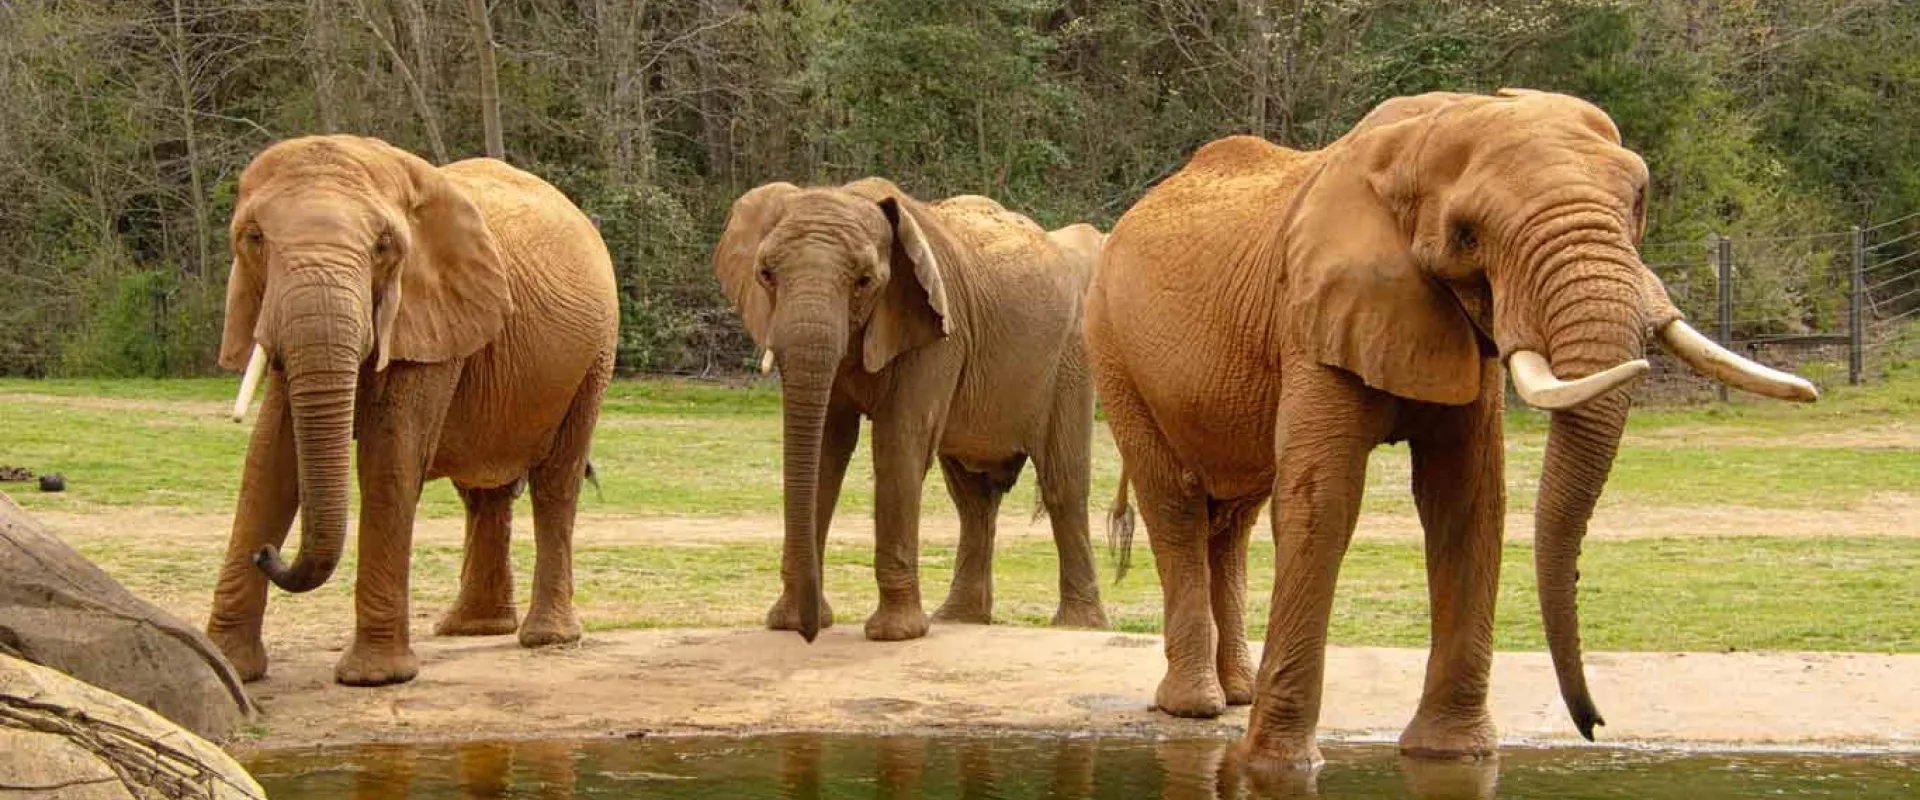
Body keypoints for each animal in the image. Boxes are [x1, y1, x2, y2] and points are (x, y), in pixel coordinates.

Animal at [205, 135, 619, 686]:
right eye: (253, 238)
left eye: (383, 247)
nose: (265, 554)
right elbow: (269, 462)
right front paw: (227, 665)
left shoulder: (431, 318)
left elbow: (390, 457)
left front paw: (374, 677)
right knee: (484, 492)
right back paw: (470, 628)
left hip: (594, 356)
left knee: (556, 481)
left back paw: (546, 638)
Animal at [713, 178, 1109, 642]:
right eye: (765, 274)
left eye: (865, 281)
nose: (810, 633)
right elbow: (827, 450)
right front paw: (788, 622)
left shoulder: (938, 331)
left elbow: (898, 444)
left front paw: (895, 634)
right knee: (972, 498)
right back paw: (957, 618)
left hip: (1071, 359)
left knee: (1063, 484)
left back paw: (1078, 626)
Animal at [1084, 90, 1818, 767]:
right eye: (1469, 236)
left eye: (1638, 201)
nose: (1594, 724)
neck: (1420, 138)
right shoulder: (1313, 314)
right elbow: (1323, 500)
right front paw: (1280, 764)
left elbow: (1467, 499)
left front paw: (1453, 754)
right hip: (1113, 349)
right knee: (1176, 503)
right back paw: (1197, 706)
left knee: (1233, 516)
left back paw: (1235, 693)